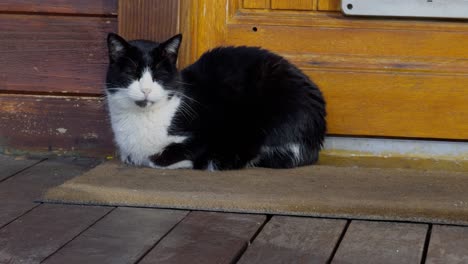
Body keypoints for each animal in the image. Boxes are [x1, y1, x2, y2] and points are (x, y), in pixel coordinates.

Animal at [105, 32, 326, 171]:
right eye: (131, 73)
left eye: (158, 75)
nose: (146, 89)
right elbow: (130, 156)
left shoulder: (204, 135)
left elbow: (157, 159)